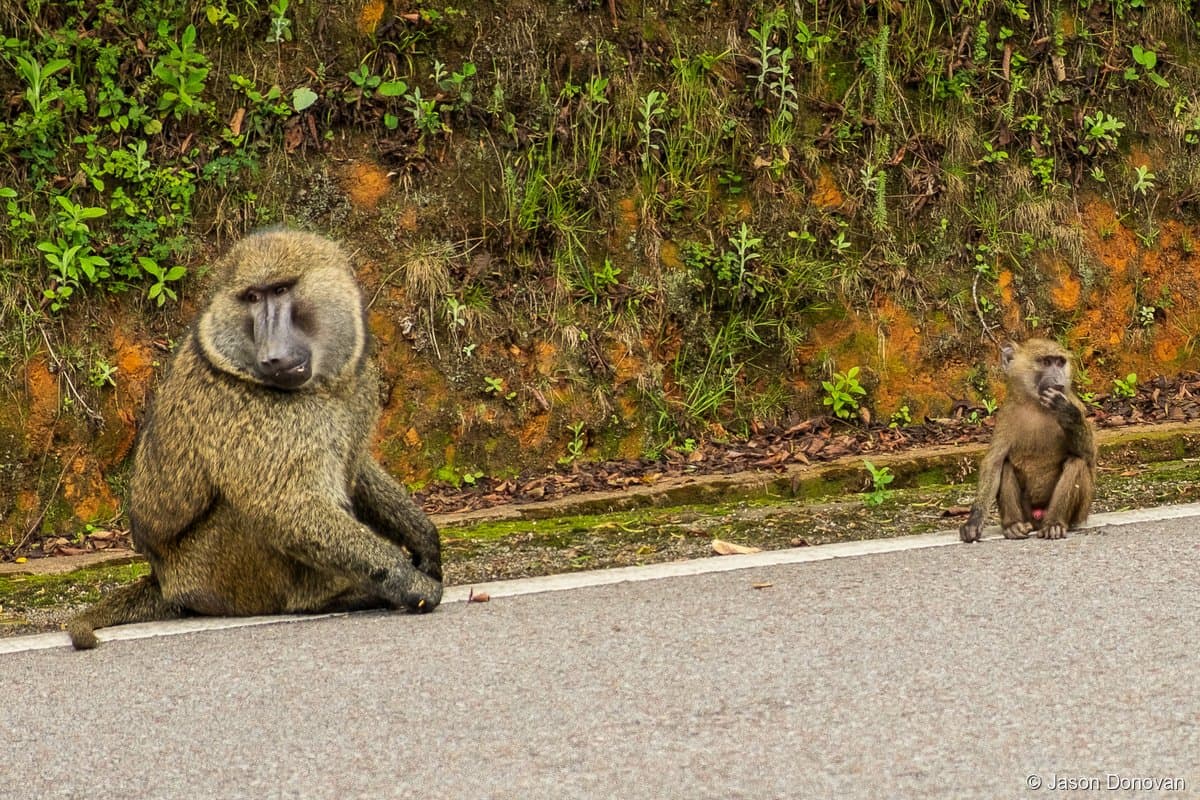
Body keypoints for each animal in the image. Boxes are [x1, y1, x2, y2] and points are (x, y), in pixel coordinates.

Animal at [66, 230, 442, 649]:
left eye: (280, 290)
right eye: (252, 298)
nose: (274, 357)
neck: (321, 386)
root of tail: (164, 582)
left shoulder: (356, 385)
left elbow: (356, 468)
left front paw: (425, 540)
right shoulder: (252, 414)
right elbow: (287, 509)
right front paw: (411, 582)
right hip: (212, 577)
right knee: (250, 511)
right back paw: (329, 598)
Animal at [960, 338, 1096, 543]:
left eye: (1060, 362)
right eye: (1046, 362)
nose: (1058, 382)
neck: (1036, 405)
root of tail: (1038, 519)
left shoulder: (1077, 404)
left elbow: (1089, 458)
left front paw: (1066, 412)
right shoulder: (1006, 416)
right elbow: (994, 462)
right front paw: (974, 522)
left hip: (1077, 513)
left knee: (1076, 463)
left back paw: (1054, 525)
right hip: (1027, 514)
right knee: (1005, 464)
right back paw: (1014, 526)